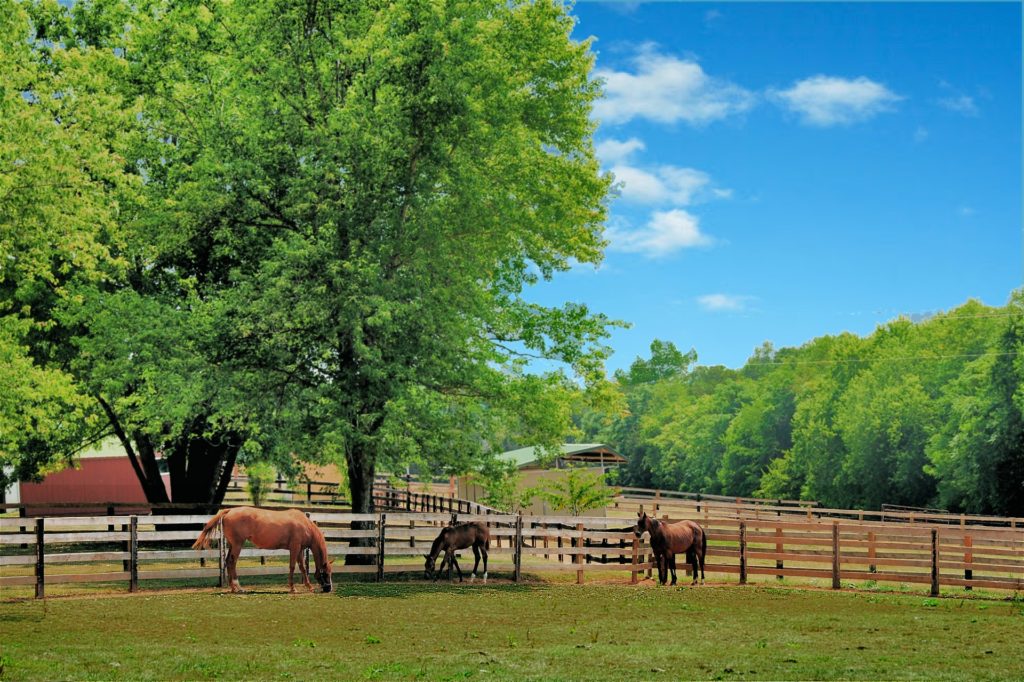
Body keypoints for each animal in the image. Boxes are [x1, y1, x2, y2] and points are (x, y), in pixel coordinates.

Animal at [192, 507, 333, 594]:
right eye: (326, 573)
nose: (329, 589)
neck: (304, 524)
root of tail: (230, 510)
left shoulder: (299, 550)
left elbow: (302, 567)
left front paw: (309, 586)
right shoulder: (295, 548)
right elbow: (292, 567)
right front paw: (293, 588)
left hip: (233, 545)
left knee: (227, 561)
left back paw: (234, 588)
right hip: (237, 545)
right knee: (232, 562)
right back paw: (238, 587)